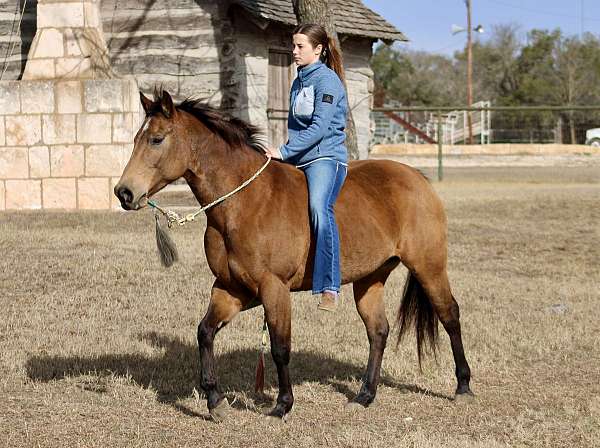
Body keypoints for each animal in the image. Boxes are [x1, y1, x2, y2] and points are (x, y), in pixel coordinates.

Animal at [113, 90, 474, 420]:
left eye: (157, 139)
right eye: (137, 138)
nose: (124, 193)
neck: (245, 202)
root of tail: (418, 179)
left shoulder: (274, 289)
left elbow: (280, 347)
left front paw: (282, 404)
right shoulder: (231, 288)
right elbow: (205, 332)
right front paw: (214, 399)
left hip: (429, 267)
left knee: (450, 316)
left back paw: (463, 387)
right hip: (370, 279)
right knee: (378, 331)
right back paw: (365, 395)